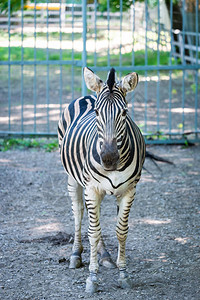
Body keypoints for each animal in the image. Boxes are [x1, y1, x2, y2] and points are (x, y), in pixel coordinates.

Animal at [57, 67, 145, 292]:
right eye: (96, 113)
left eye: (124, 113)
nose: (109, 159)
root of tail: (88, 95)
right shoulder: (91, 188)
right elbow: (93, 233)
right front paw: (92, 279)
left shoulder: (129, 190)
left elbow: (121, 231)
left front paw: (123, 275)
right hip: (74, 179)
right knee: (79, 212)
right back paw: (76, 255)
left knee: (93, 217)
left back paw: (104, 255)